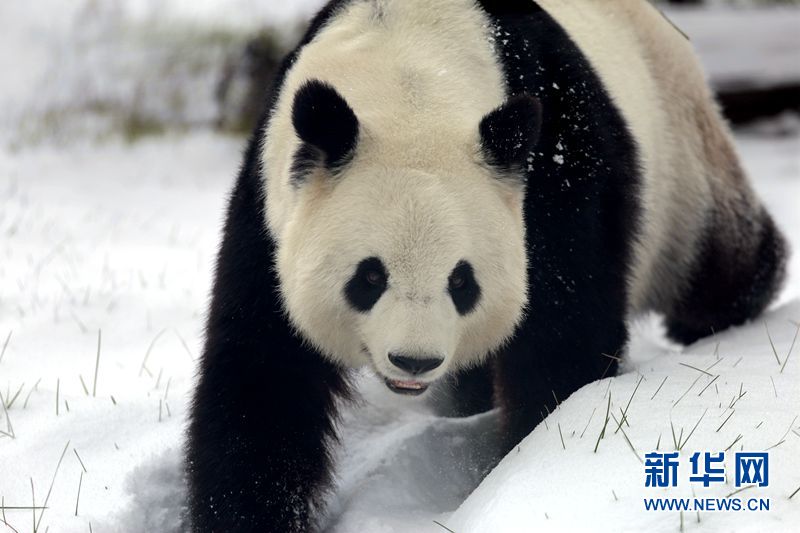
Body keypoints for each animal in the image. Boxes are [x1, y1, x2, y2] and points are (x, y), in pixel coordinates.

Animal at [186, 2, 788, 528]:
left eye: (461, 280)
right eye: (369, 277)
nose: (414, 361)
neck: (412, 78)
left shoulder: (554, 164)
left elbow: (562, 330)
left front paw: (531, 459)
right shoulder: (271, 211)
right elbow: (262, 375)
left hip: (678, 149)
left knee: (715, 258)